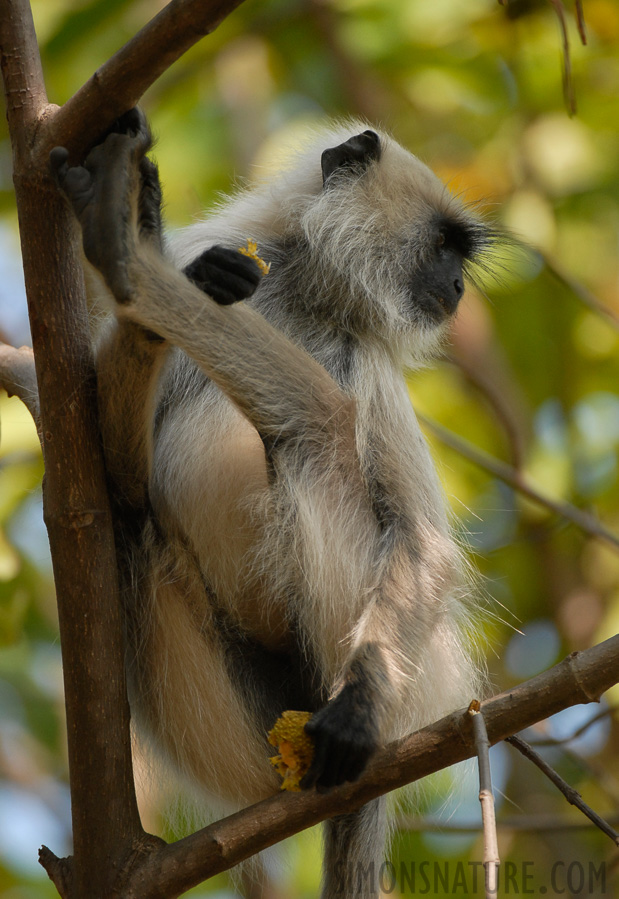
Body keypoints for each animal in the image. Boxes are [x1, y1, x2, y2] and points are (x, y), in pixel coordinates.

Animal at [50, 110, 492, 899]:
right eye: (443, 246)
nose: (458, 285)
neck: (304, 294)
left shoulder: (366, 354)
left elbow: (423, 545)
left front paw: (358, 708)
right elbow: (111, 479)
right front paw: (165, 267)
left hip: (373, 671)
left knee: (321, 422)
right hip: (237, 724)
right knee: (135, 526)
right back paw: (130, 241)